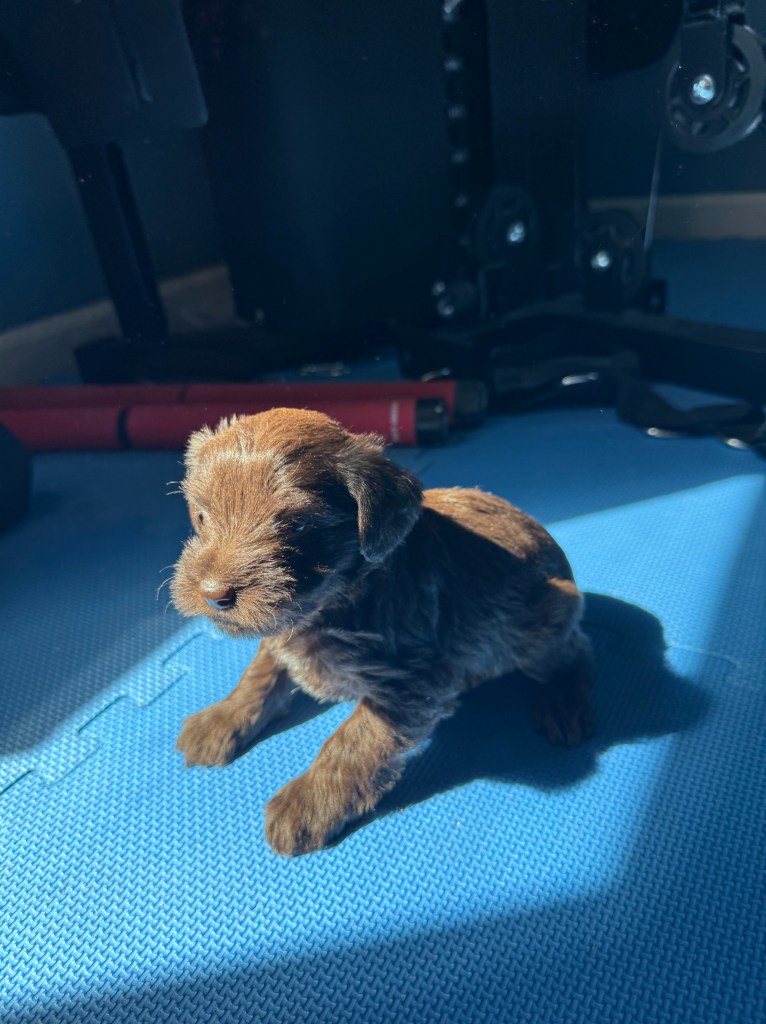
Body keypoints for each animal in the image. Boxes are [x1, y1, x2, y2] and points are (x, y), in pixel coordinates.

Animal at [170, 408, 594, 855]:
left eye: (299, 527)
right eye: (202, 517)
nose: (213, 595)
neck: (336, 601)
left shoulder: (413, 683)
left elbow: (353, 740)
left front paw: (308, 800)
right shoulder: (283, 627)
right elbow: (260, 672)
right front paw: (222, 717)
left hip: (539, 624)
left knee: (576, 650)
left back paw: (564, 702)